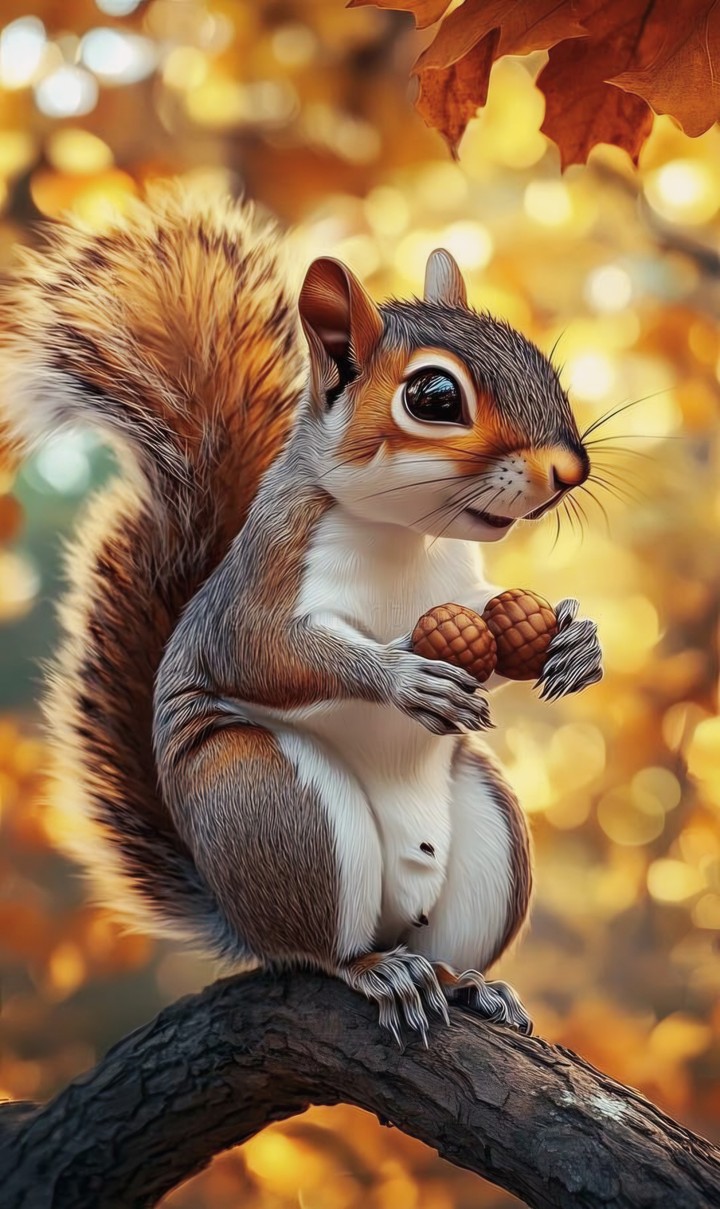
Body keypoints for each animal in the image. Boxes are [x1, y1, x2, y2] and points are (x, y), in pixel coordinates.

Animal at [0, 185, 602, 1044]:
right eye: (434, 397)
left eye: (540, 360)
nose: (569, 471)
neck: (404, 536)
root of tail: (238, 918)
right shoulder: (262, 584)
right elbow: (263, 652)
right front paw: (403, 678)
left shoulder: (463, 589)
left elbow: (493, 620)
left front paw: (577, 641)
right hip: (272, 806)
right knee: (321, 948)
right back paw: (375, 968)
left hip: (487, 828)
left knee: (448, 946)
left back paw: (473, 982)